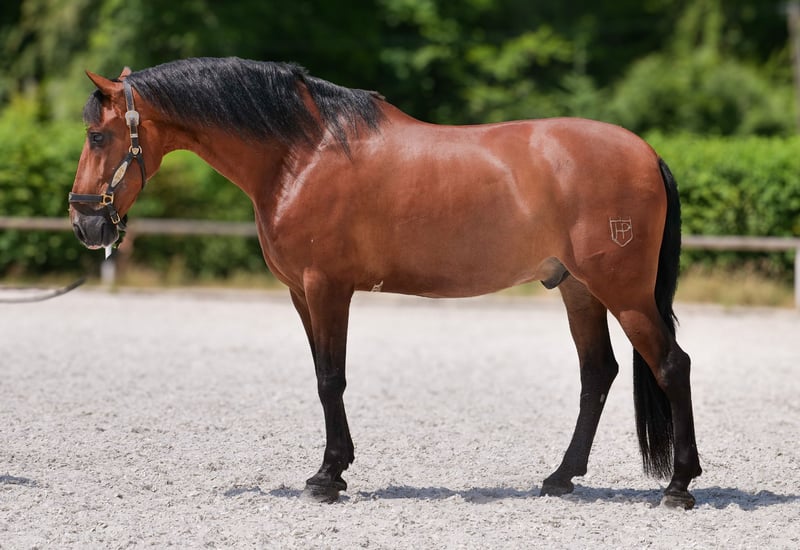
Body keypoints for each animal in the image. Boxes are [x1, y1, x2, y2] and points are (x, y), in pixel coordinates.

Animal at [68, 57, 701, 508]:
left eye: (98, 137)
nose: (85, 222)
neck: (301, 154)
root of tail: (647, 153)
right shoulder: (301, 294)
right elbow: (322, 376)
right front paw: (335, 468)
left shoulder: (326, 287)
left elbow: (331, 379)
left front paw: (327, 477)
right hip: (577, 289)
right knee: (598, 373)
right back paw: (561, 477)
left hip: (623, 292)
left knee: (672, 365)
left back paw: (679, 486)